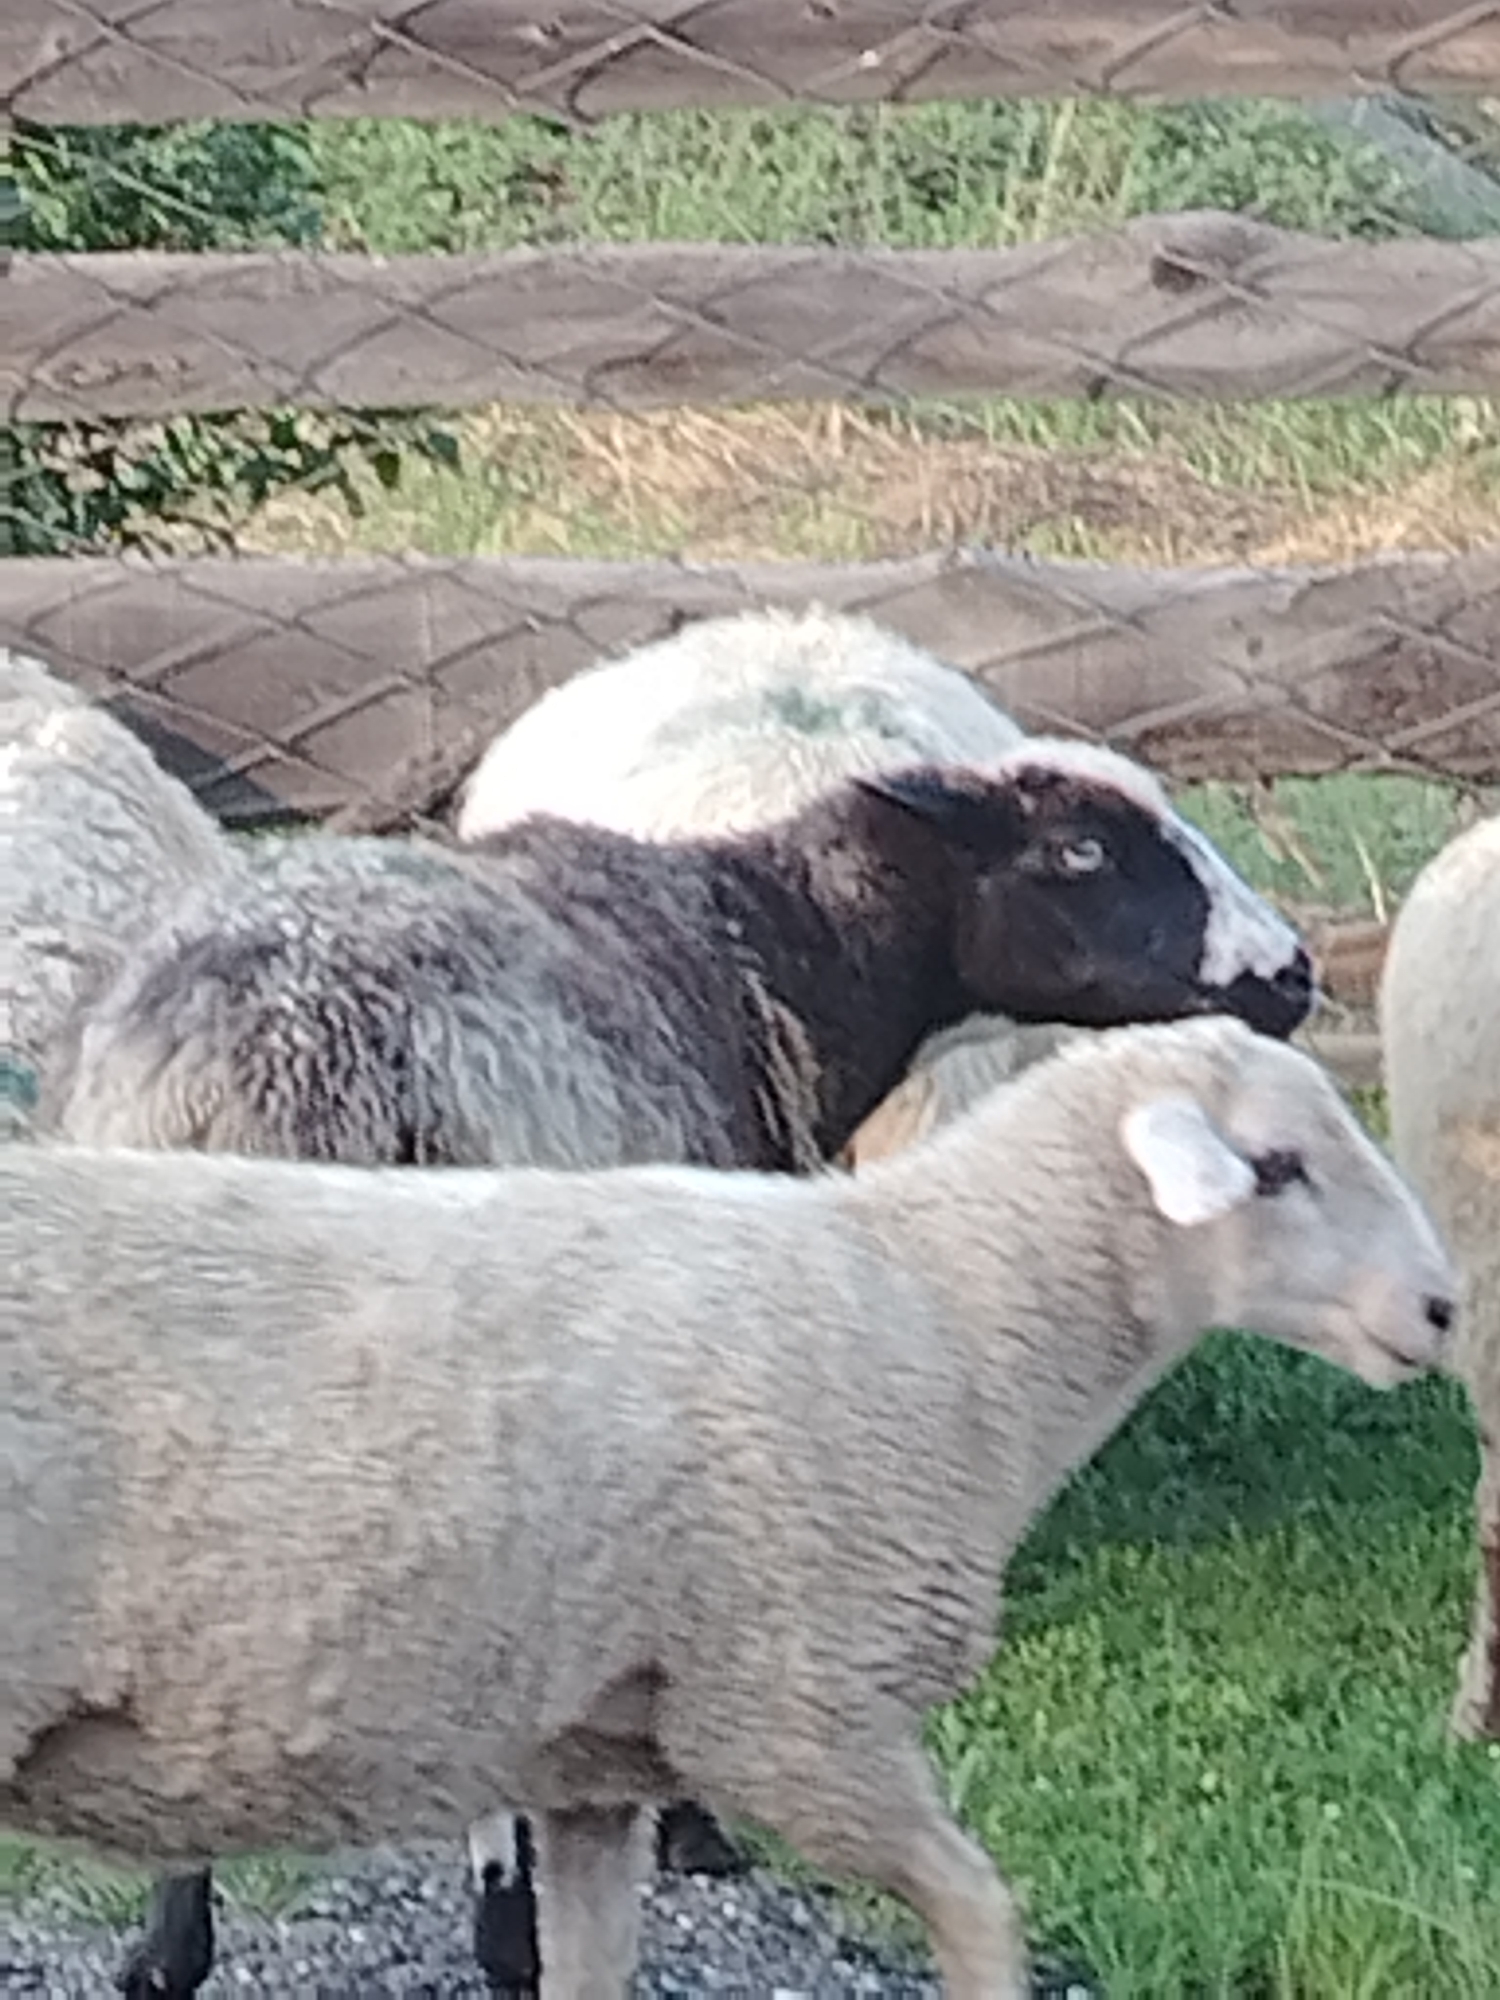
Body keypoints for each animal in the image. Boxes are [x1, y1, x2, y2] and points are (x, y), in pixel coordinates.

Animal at [5, 1015, 1460, 2000]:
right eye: (1276, 1165)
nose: (1444, 1309)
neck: (953, 1312)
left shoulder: (595, 1761)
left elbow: (592, 1960)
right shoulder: (795, 1721)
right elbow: (982, 1904)